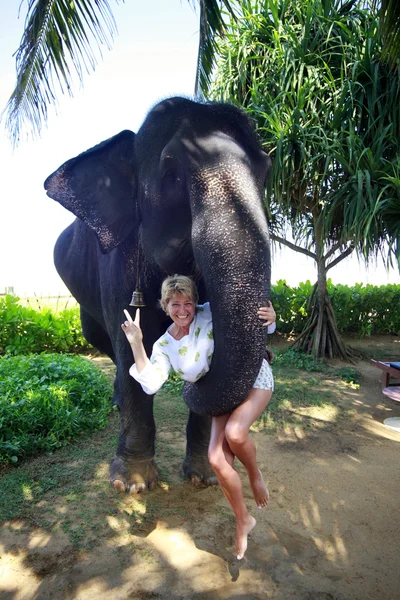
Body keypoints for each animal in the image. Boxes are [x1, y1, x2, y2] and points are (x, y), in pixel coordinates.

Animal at [44, 97, 272, 492]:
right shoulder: (118, 262)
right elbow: (127, 339)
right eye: (172, 174)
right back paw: (118, 401)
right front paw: (132, 483)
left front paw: (204, 477)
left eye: (265, 171)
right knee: (105, 342)